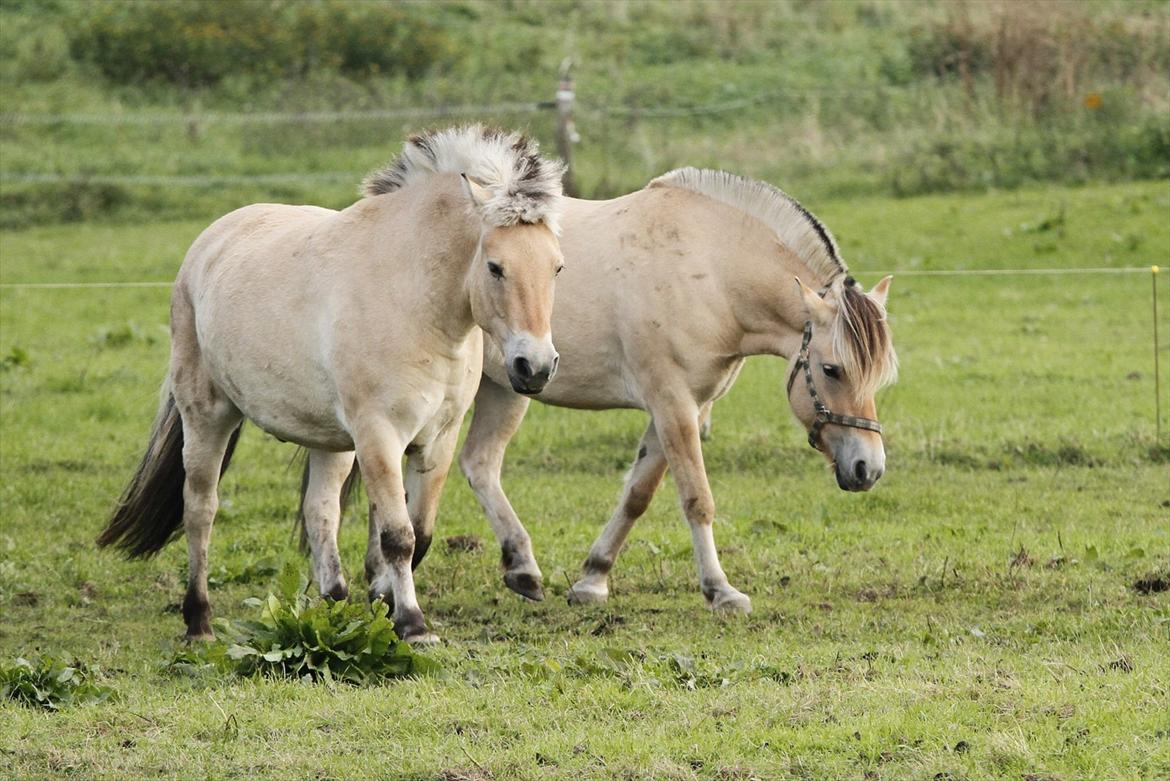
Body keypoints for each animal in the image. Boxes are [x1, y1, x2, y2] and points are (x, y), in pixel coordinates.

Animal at [100, 125, 566, 645]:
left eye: (557, 267)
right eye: (495, 267)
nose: (535, 367)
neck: (413, 300)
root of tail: (207, 243)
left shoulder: (436, 441)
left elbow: (417, 533)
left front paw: (384, 607)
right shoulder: (379, 436)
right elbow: (398, 537)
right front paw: (413, 624)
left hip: (330, 441)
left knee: (320, 512)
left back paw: (334, 604)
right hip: (208, 417)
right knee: (200, 508)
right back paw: (198, 621)